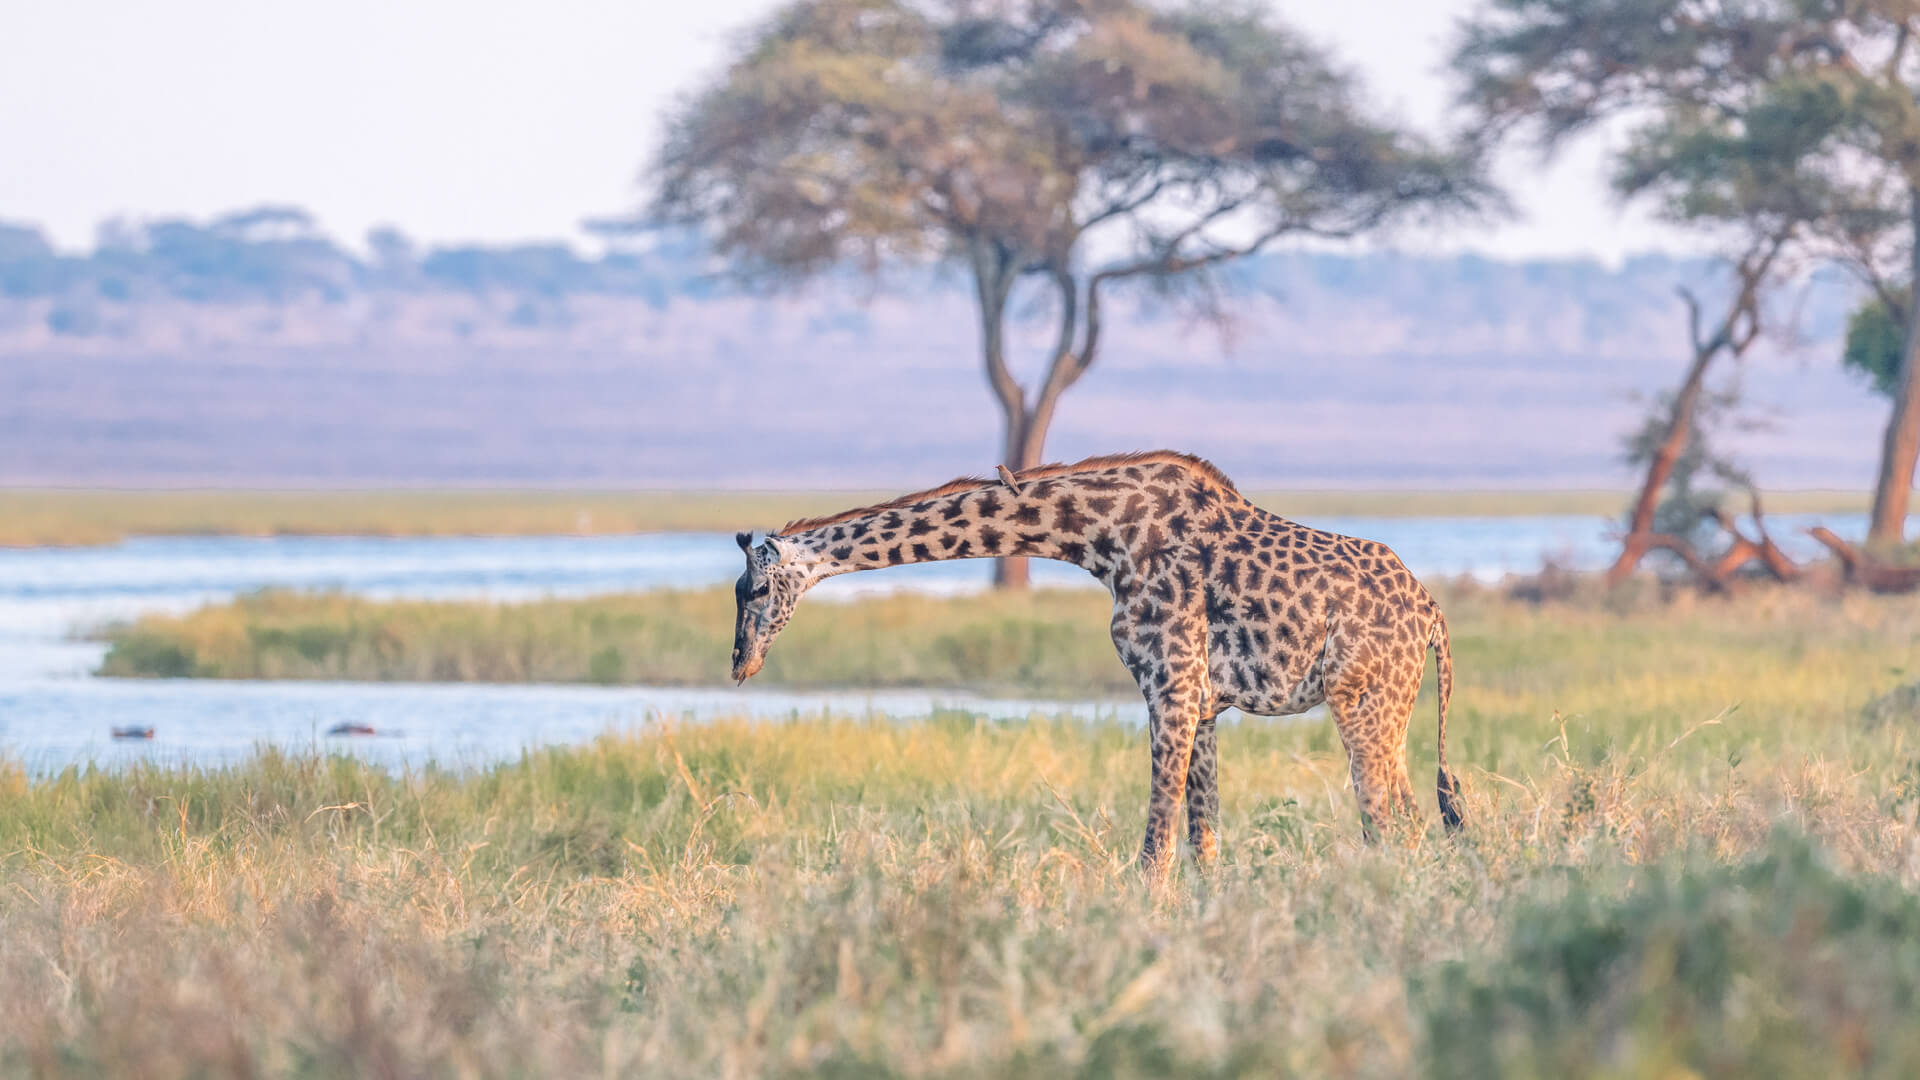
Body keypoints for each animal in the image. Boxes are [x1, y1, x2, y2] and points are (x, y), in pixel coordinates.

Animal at [729, 451, 1464, 874]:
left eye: (754, 590)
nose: (740, 665)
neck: (1099, 537)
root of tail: (1432, 612)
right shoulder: (1202, 702)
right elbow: (1202, 843)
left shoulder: (1170, 686)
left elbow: (1155, 845)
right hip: (1390, 711)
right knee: (1413, 822)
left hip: (1363, 704)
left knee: (1388, 823)